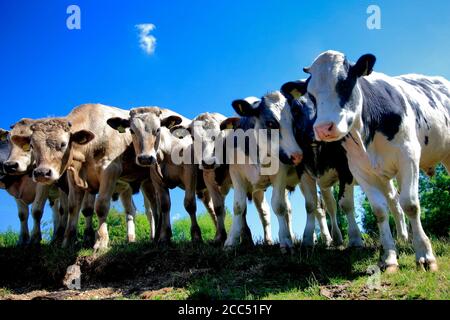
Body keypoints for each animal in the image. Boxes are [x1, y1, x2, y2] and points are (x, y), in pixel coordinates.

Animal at [12, 104, 158, 250]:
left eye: (63, 144)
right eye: (32, 146)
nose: (42, 172)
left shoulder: (110, 170)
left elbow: (101, 206)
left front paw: (101, 241)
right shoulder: (74, 177)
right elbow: (73, 207)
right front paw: (68, 241)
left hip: (148, 181)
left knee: (150, 209)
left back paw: (152, 237)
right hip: (126, 187)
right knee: (131, 210)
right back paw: (131, 239)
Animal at [284, 51, 450, 272]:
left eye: (345, 83)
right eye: (311, 94)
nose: (322, 129)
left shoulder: (408, 157)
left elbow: (411, 204)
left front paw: (425, 256)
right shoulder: (360, 170)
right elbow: (379, 210)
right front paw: (389, 258)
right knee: (392, 201)